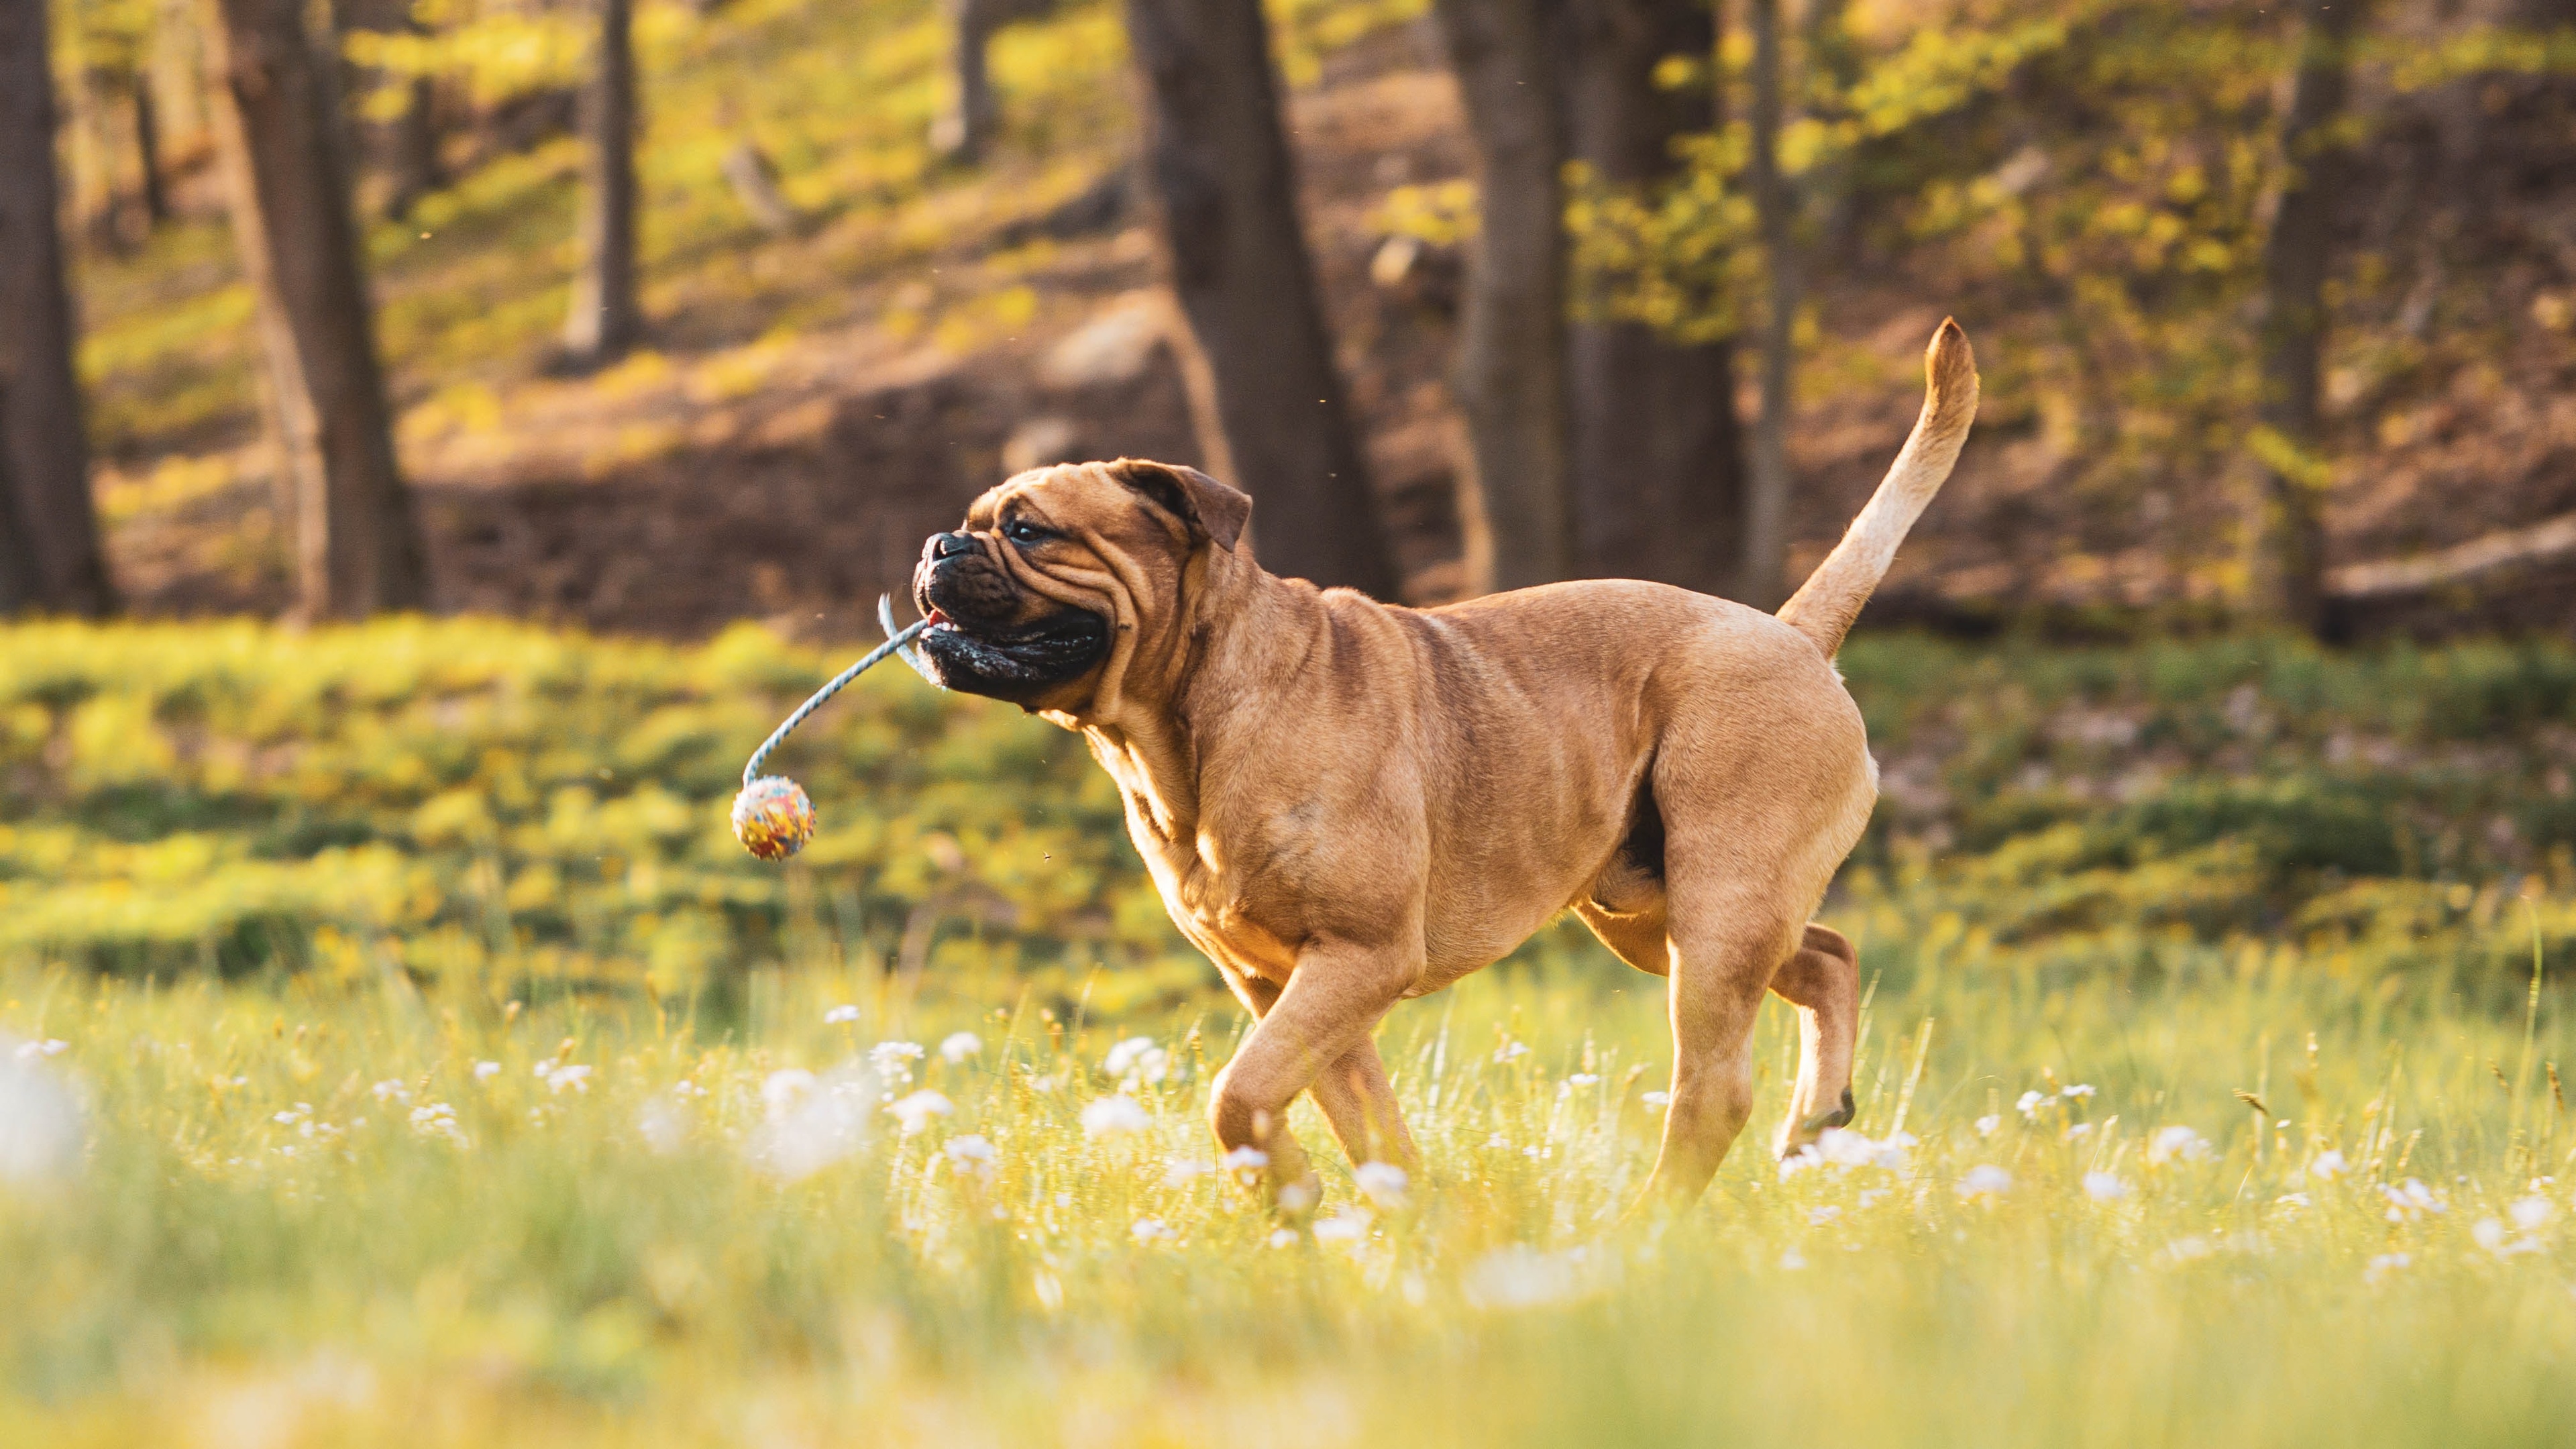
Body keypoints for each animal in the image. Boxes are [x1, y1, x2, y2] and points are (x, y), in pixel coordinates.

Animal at [917, 321, 1978, 1201]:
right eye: (971, 518)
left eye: (1027, 528)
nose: (936, 542)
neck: (1185, 724)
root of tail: (1794, 633)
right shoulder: (1282, 985)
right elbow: (1354, 1119)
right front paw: (1376, 1221)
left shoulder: (1356, 959)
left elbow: (1239, 1095)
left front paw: (1295, 1198)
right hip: (1654, 915)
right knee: (1830, 956)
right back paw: (1818, 1122)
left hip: (1719, 913)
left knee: (1712, 1091)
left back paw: (1655, 1225)